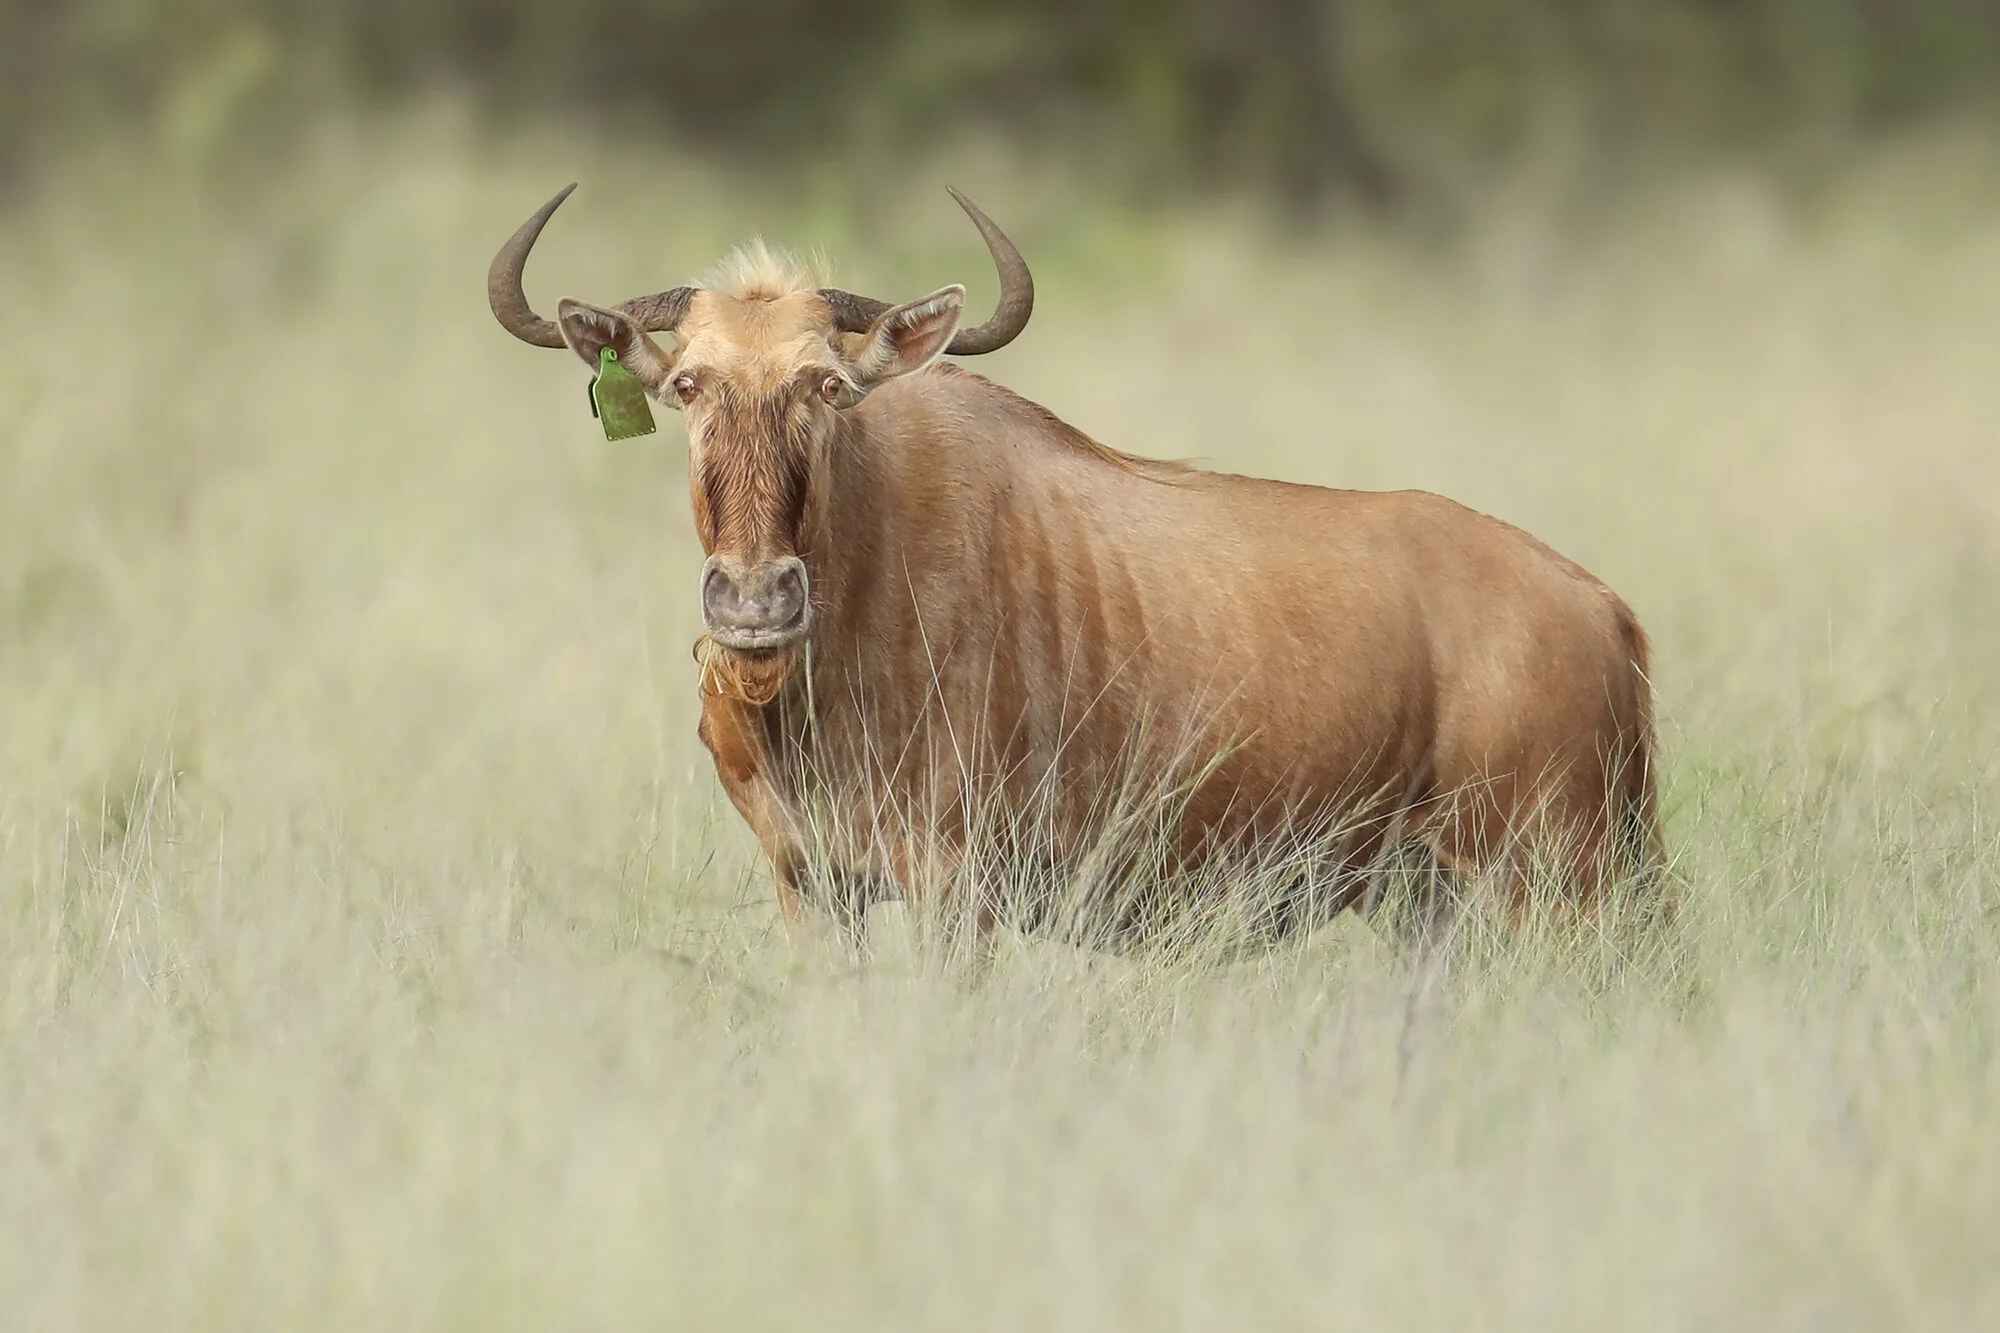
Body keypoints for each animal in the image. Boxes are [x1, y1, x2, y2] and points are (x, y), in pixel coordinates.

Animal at [489, 186, 1661, 954]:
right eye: (687, 384)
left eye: (826, 387)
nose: (752, 599)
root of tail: (1601, 607)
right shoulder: (811, 887)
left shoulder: (956, 891)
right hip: (1437, 905)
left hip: (1558, 891)